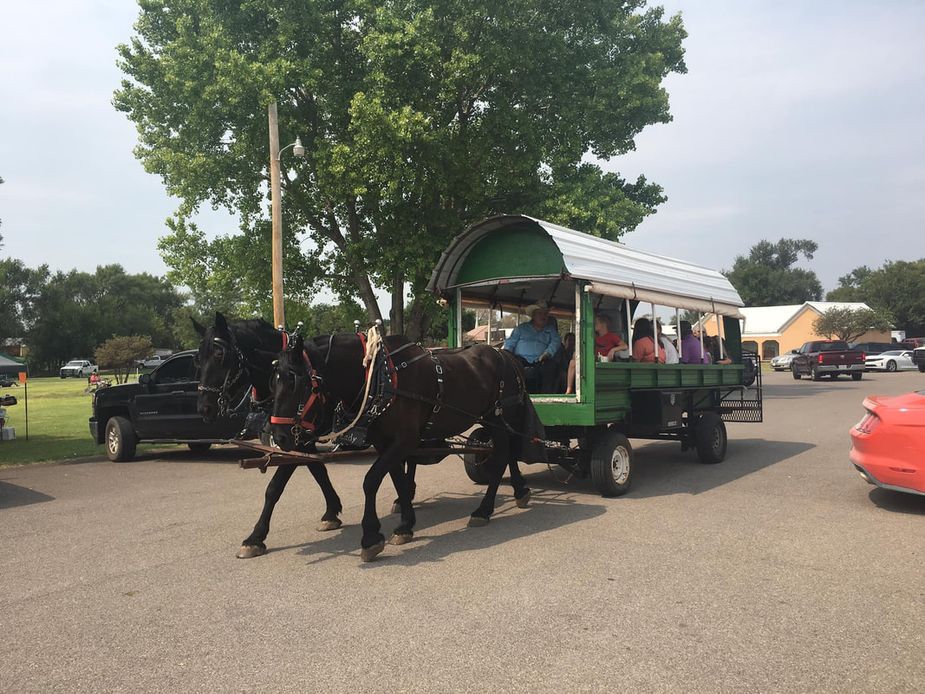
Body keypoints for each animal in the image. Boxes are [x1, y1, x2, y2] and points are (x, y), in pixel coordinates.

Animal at [193, 314, 344, 560]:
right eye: (197, 359)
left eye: (219, 355)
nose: (204, 408)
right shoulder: (300, 438)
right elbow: (318, 470)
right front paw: (331, 511)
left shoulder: (297, 438)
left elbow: (275, 487)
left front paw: (255, 537)